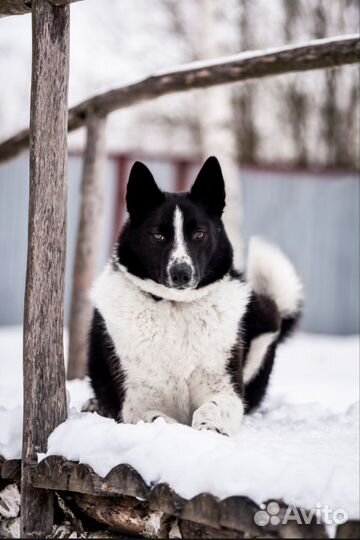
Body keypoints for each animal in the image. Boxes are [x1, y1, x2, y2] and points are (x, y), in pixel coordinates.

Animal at [88, 156, 302, 434]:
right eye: (158, 235)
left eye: (199, 234)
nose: (181, 273)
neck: (176, 306)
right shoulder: (138, 404)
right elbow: (159, 421)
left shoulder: (227, 391)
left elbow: (213, 407)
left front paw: (209, 430)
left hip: (265, 319)